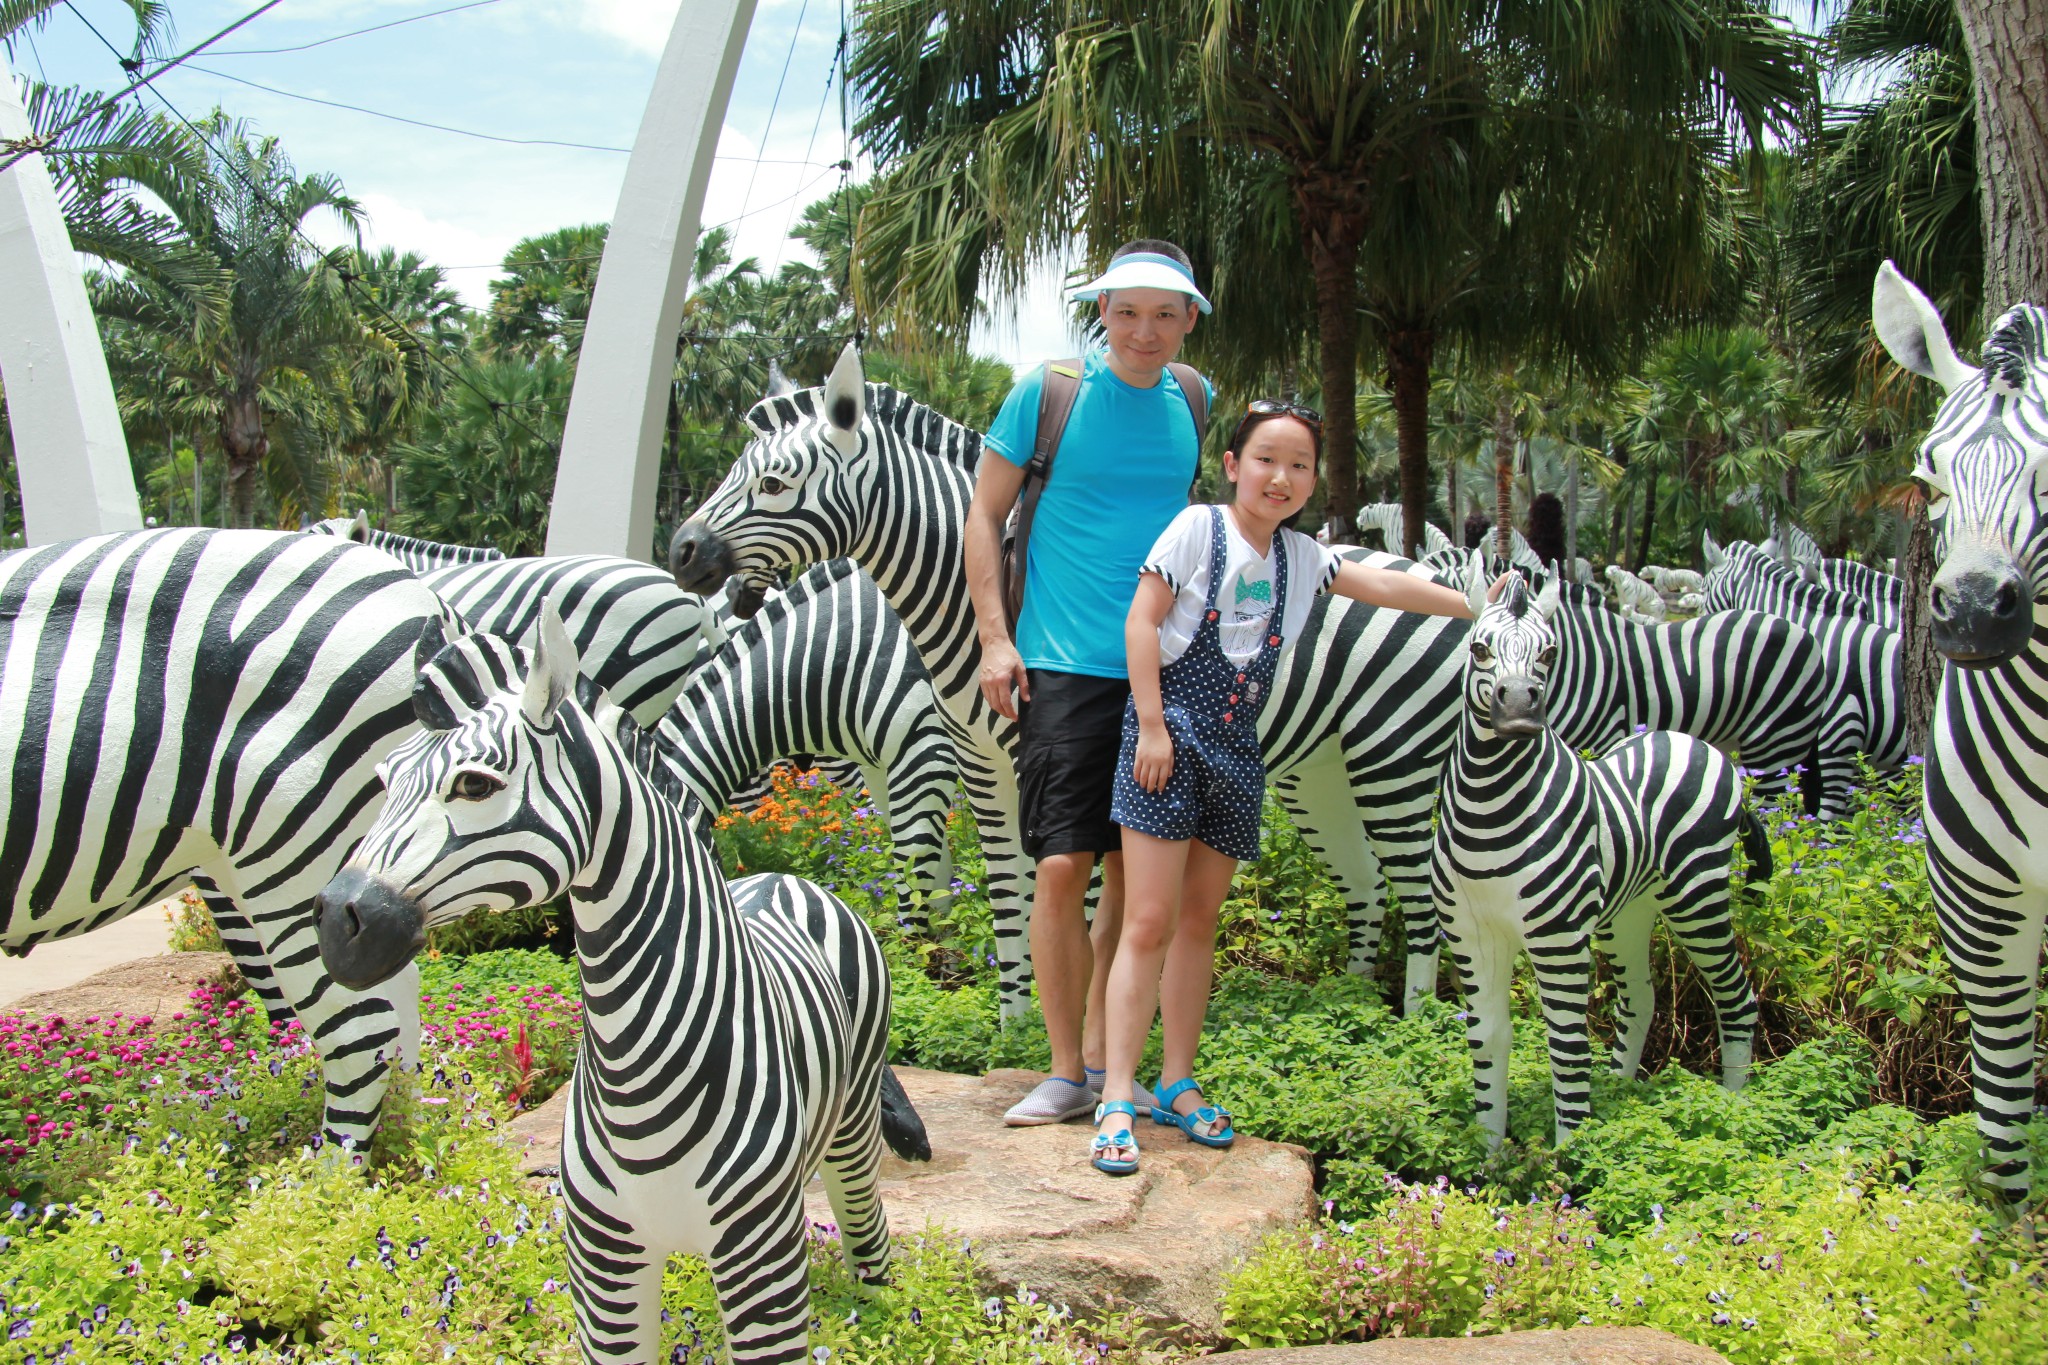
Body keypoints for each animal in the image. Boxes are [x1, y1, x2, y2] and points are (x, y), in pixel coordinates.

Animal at [0, 527, 456, 1146]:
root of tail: (421, 598)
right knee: (396, 1018)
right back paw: (412, 1154)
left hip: (300, 850)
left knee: (361, 1036)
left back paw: (325, 1173)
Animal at [315, 609, 925, 1365]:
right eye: (384, 776)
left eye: (475, 784)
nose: (335, 922)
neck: (636, 1069)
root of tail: (782, 878)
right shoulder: (605, 1268)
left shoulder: (759, 1265)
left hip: (850, 1126)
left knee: (868, 1235)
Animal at [1441, 556, 1761, 1146]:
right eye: (1479, 648)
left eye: (1549, 652)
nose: (1519, 711)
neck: (1487, 807)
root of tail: (1684, 740)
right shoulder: (1472, 935)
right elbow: (1490, 1040)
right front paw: (1491, 1155)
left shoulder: (1559, 939)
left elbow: (1566, 1048)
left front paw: (1569, 1157)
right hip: (1631, 909)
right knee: (1641, 998)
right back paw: (1619, 1094)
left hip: (1698, 897)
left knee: (1735, 996)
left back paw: (1734, 1107)